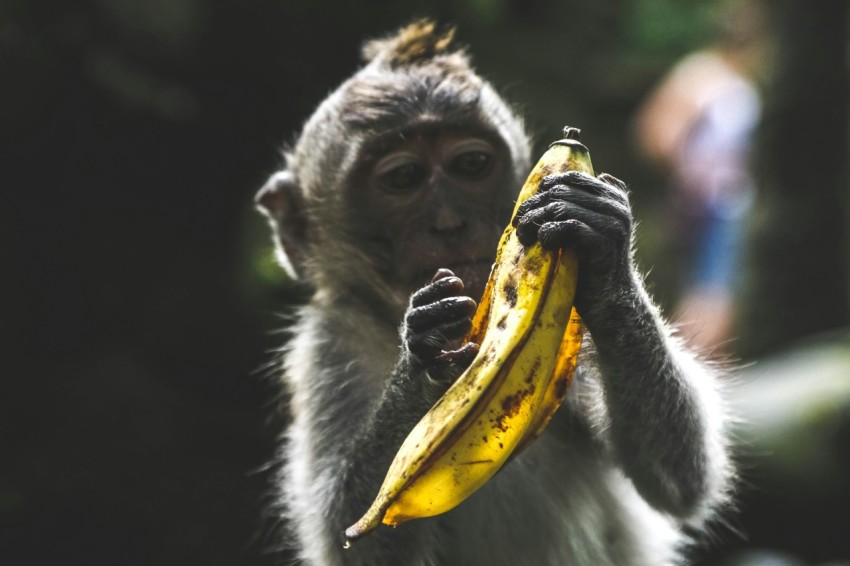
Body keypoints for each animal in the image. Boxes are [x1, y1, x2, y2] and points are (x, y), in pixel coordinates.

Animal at [256, 20, 733, 566]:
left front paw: (607, 259)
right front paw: (424, 355)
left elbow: (678, 479)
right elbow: (347, 540)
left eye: (471, 164)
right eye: (403, 177)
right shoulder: (326, 351)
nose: (450, 221)